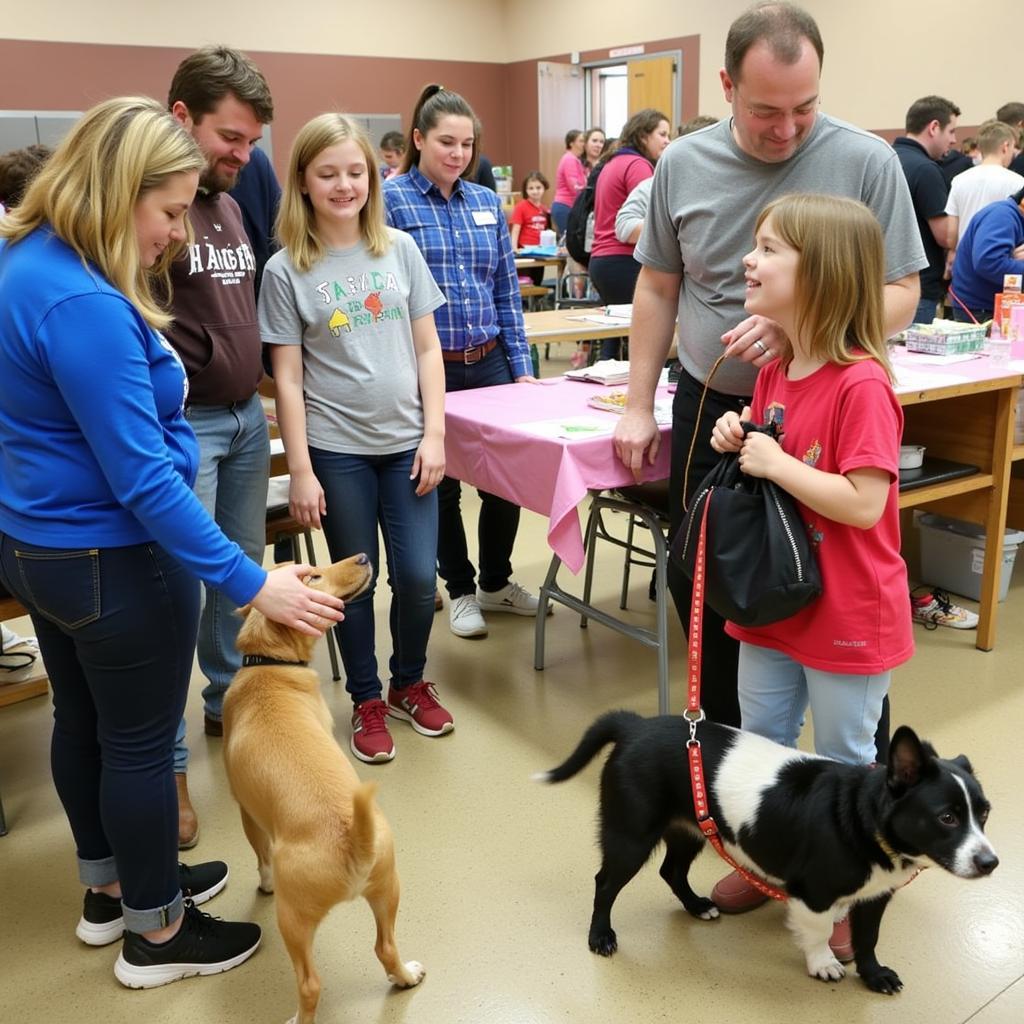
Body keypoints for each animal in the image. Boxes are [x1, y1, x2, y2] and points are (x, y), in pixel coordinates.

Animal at [226, 557, 425, 1019]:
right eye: (311, 576)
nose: (365, 558)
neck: (269, 665)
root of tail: (352, 842)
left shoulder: (247, 813)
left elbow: (259, 856)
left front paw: (262, 881)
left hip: (292, 921)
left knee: (311, 985)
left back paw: (298, 1017)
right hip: (388, 888)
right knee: (385, 948)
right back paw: (406, 976)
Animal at [540, 712, 995, 991]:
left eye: (985, 813)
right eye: (947, 818)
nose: (991, 863)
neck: (860, 815)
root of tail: (634, 726)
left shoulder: (875, 896)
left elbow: (867, 939)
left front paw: (873, 975)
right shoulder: (813, 895)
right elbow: (820, 932)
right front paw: (822, 963)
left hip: (692, 828)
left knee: (672, 871)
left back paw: (696, 906)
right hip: (630, 837)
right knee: (605, 884)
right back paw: (601, 935)